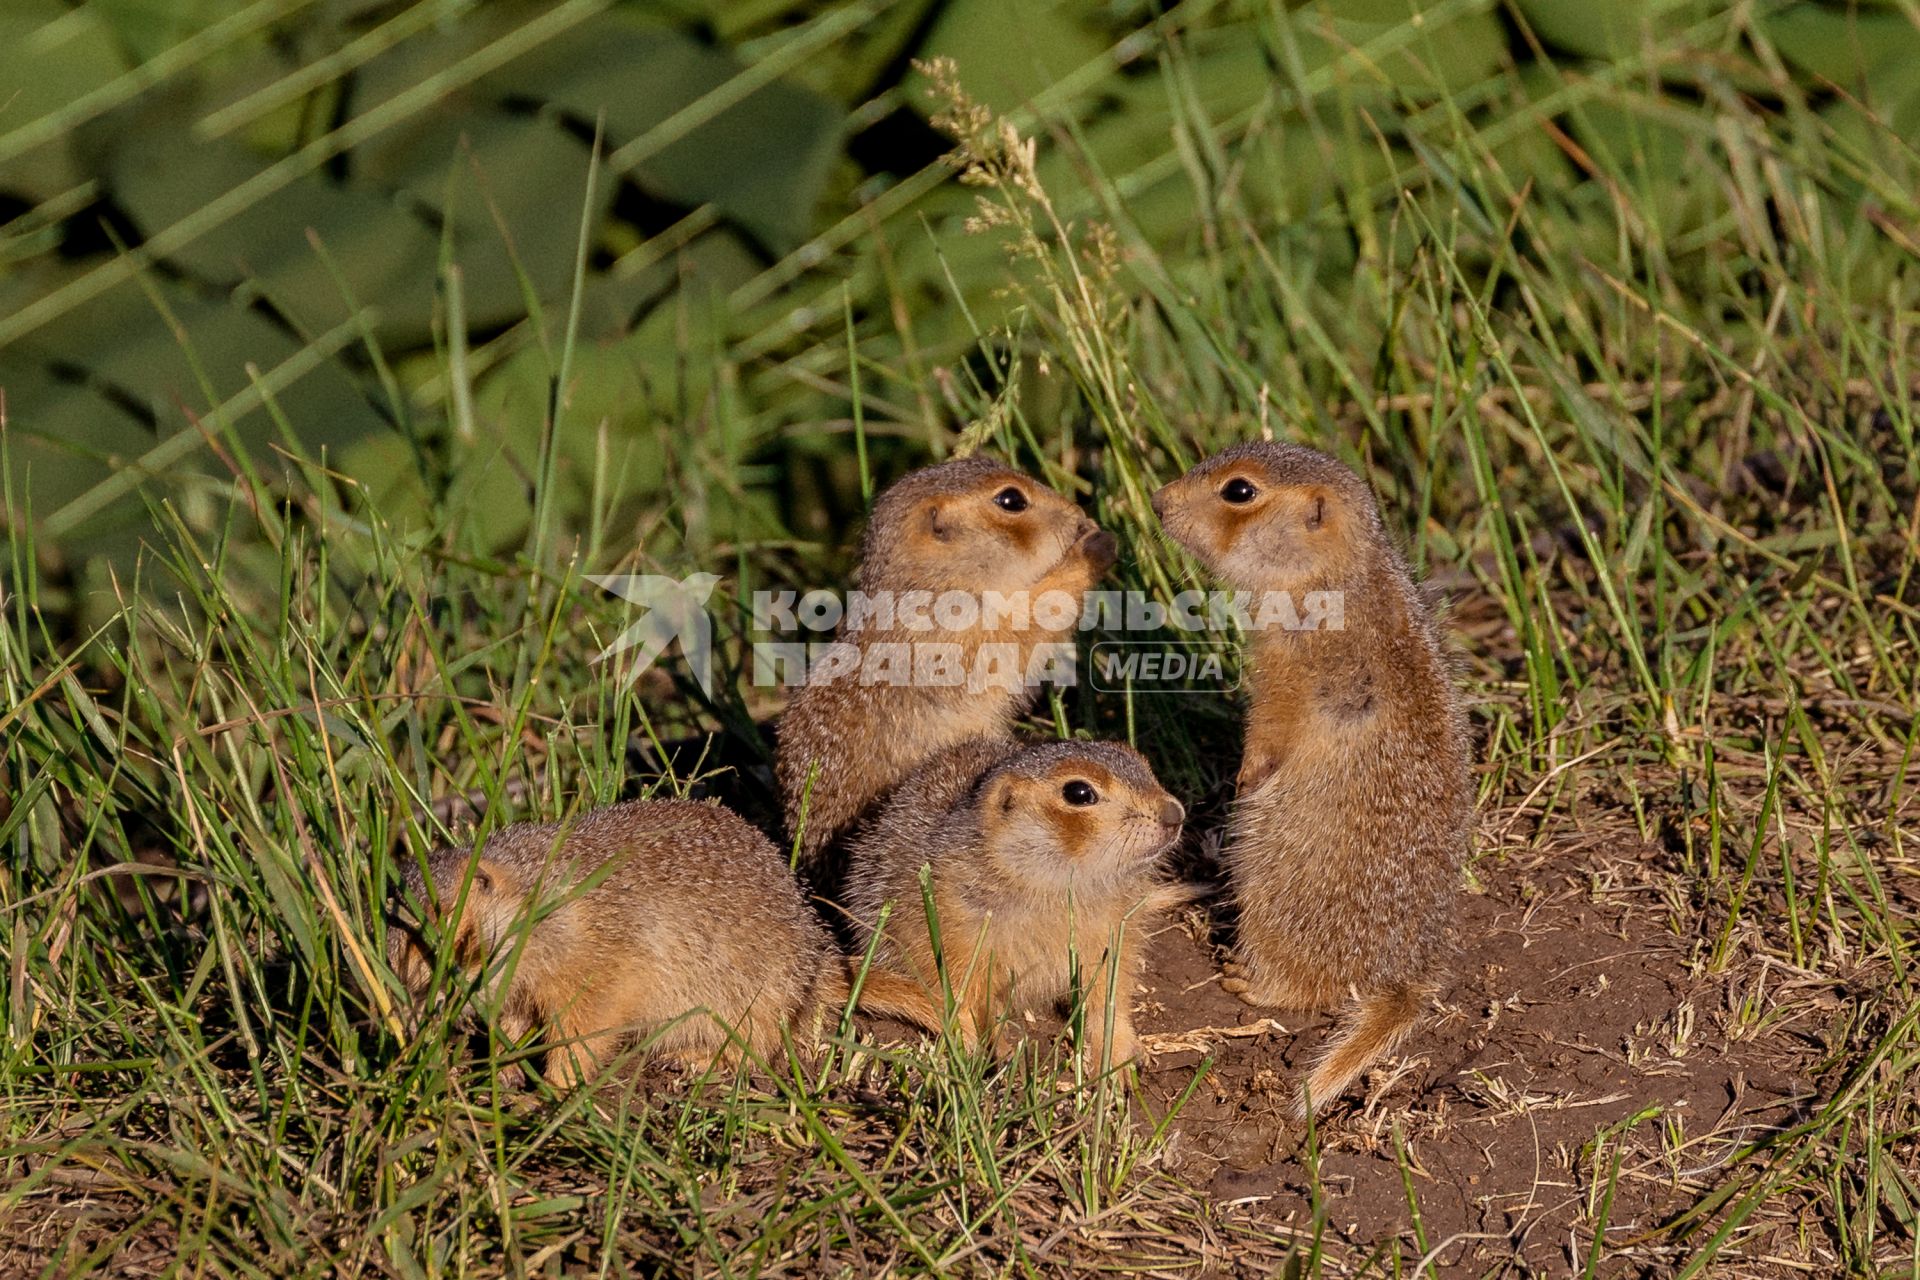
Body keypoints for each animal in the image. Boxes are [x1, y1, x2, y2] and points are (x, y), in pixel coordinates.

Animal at [389, 794, 944, 1090]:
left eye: (444, 921)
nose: (404, 984)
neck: (538, 902)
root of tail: (819, 966)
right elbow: (515, 1018)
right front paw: (498, 1066)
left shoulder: (598, 968)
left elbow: (584, 1027)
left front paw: (557, 1086)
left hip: (749, 1001)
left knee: (757, 1048)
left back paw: (697, 1059)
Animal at [775, 454, 1121, 886]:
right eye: (1011, 500)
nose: (1077, 514)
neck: (933, 585)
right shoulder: (951, 639)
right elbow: (1019, 627)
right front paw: (1092, 546)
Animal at [848, 736, 1190, 1066]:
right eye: (1079, 793)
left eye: (1143, 762)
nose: (1175, 814)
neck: (1058, 887)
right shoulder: (947, 935)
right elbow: (960, 995)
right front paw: (984, 1045)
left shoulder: (1115, 931)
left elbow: (1109, 993)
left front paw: (1119, 1055)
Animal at [1152, 445, 1466, 1113]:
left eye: (1239, 491)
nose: (1160, 501)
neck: (1339, 574)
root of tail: (1401, 976)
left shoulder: (1288, 664)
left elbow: (1274, 724)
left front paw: (1247, 776)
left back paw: (1250, 981)